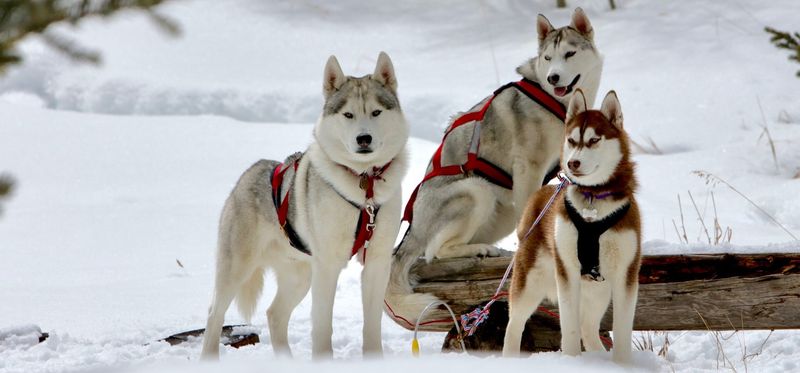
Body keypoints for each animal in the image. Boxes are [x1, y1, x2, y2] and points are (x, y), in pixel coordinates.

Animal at [504, 88, 640, 362]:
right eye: (571, 140)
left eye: (594, 140)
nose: (572, 164)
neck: (594, 200)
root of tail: (540, 193)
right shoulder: (567, 271)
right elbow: (569, 328)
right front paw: (571, 361)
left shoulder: (626, 273)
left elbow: (622, 331)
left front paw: (622, 365)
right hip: (530, 280)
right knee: (514, 325)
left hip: (598, 291)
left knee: (589, 328)